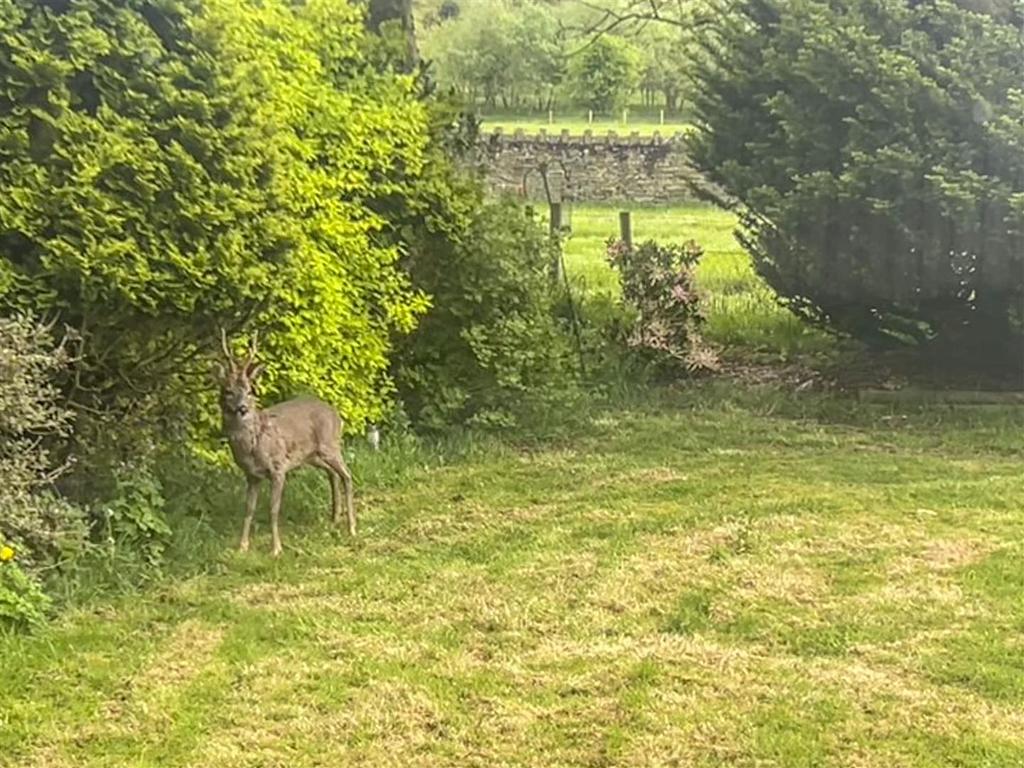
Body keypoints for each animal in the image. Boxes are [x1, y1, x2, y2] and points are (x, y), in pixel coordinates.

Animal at [212, 327, 356, 557]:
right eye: (228, 391)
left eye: (250, 390)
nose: (242, 408)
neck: (252, 445)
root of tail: (336, 414)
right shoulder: (252, 475)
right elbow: (249, 508)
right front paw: (242, 546)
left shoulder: (278, 468)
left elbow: (273, 508)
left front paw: (276, 549)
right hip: (313, 455)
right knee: (333, 474)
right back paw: (334, 519)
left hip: (330, 445)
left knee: (347, 475)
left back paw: (351, 527)